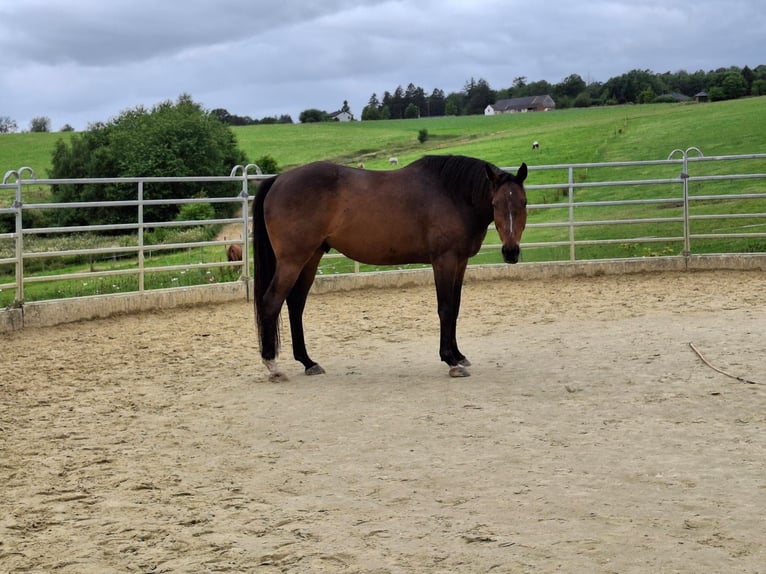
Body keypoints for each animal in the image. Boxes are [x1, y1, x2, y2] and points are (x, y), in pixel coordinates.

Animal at [252, 154, 528, 380]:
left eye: (523, 203)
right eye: (495, 204)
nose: (511, 252)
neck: (452, 194)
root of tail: (278, 179)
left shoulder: (460, 262)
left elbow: (456, 308)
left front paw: (459, 355)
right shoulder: (444, 260)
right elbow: (446, 308)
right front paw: (450, 361)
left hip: (311, 257)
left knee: (295, 303)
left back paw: (308, 362)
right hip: (292, 260)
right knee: (271, 302)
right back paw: (272, 366)